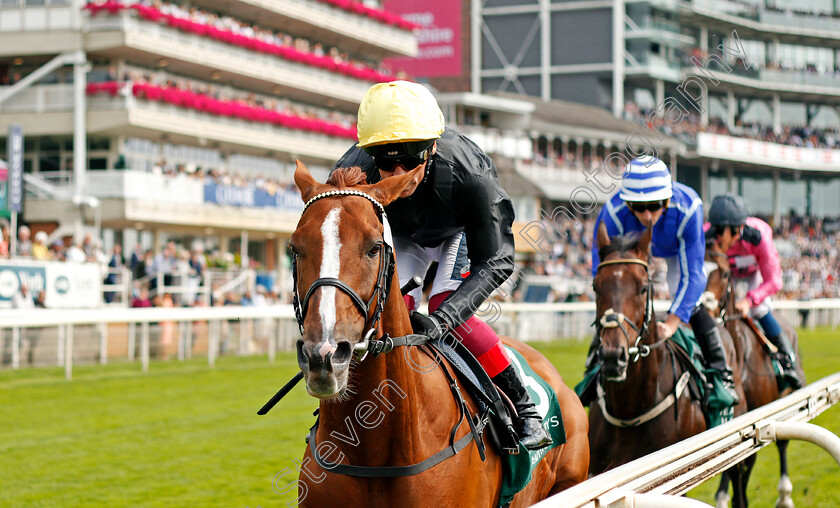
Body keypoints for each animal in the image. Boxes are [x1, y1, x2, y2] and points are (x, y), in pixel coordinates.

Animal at [704, 241, 812, 508]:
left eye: (725, 274)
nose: (704, 313)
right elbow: (732, 458)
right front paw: (726, 496)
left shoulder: (758, 412)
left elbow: (749, 458)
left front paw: (738, 497)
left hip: (787, 395)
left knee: (782, 443)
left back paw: (784, 494)